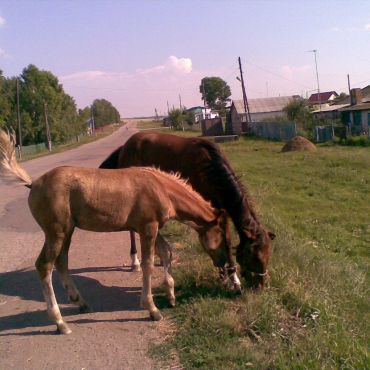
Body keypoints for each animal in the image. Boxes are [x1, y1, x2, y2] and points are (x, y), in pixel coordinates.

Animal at [0, 131, 228, 336]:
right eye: (222, 235)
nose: (225, 265)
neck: (160, 187)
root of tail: (33, 183)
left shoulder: (148, 228)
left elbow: (166, 252)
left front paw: (171, 295)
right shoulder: (148, 228)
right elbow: (148, 264)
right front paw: (152, 309)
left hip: (67, 231)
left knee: (61, 261)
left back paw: (81, 303)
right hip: (56, 232)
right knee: (44, 265)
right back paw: (60, 322)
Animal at [99, 132, 276, 290]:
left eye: (268, 255)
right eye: (254, 256)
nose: (260, 286)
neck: (209, 167)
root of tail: (126, 145)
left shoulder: (221, 212)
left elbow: (227, 240)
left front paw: (234, 279)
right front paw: (226, 279)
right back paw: (135, 261)